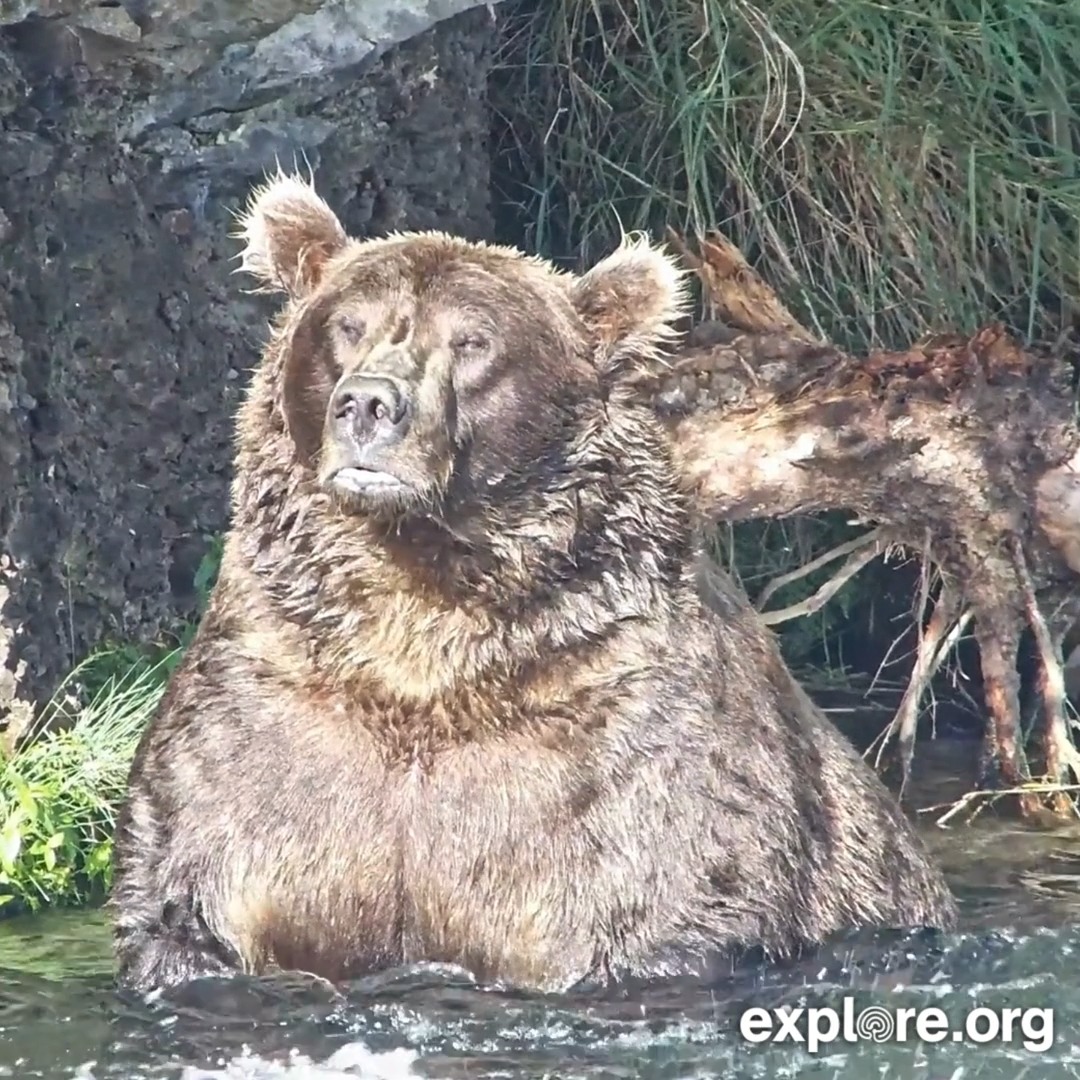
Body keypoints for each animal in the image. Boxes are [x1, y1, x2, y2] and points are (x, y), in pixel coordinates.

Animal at [110, 171, 957, 995]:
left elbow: (663, 888)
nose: (369, 404)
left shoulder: (623, 740)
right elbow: (190, 892)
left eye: (473, 340)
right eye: (347, 324)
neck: (419, 623)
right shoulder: (272, 704)